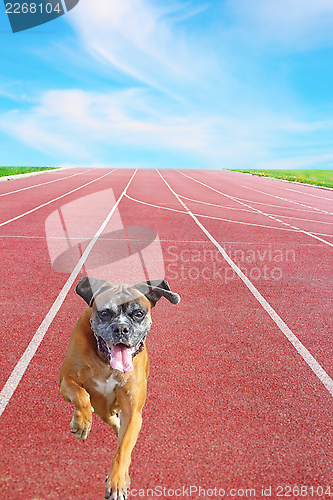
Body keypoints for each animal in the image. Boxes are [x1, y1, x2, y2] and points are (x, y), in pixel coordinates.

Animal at [59, 278, 179, 500]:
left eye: (138, 313)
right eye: (105, 313)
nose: (121, 328)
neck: (106, 362)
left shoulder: (133, 411)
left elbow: (123, 450)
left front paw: (117, 482)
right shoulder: (66, 380)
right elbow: (80, 394)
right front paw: (82, 423)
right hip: (102, 408)